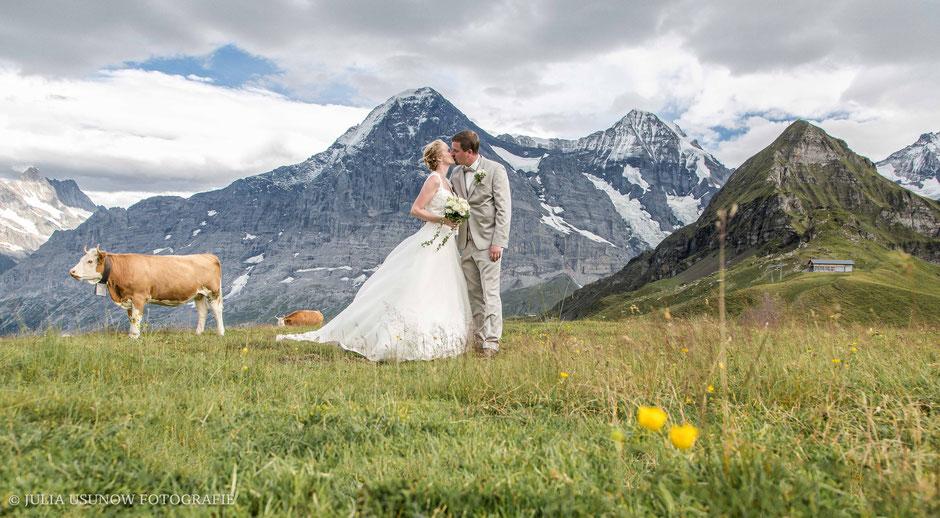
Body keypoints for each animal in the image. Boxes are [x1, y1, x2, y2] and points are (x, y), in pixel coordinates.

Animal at [70, 247, 224, 340]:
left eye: (90, 261)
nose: (72, 271)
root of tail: (207, 255)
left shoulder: (138, 296)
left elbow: (136, 317)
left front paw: (135, 336)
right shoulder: (128, 298)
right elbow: (131, 317)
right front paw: (131, 334)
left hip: (213, 291)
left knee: (216, 310)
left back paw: (220, 332)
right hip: (199, 294)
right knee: (203, 311)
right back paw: (198, 332)